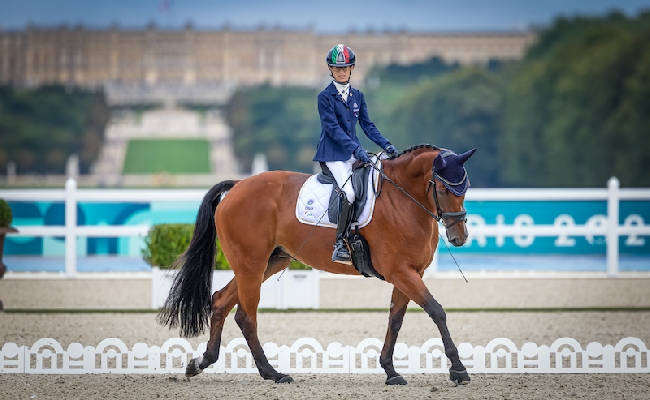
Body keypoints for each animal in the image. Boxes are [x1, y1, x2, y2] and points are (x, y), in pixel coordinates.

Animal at [159, 144, 474, 384]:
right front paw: (458, 370)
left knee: (221, 301)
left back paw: (201, 363)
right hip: (251, 264)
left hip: (269, 263)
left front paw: (390, 370)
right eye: (442, 189)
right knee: (246, 317)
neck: (402, 199)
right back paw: (273, 373)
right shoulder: (400, 270)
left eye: (466, 188)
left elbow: (395, 319)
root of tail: (238, 186)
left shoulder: (410, 272)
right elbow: (436, 310)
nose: (459, 237)